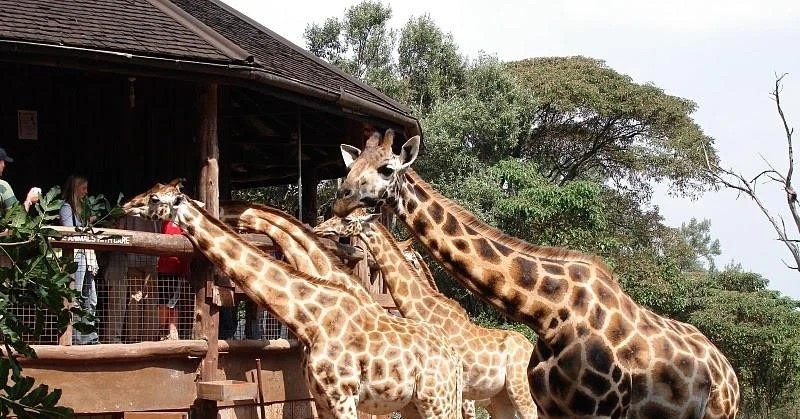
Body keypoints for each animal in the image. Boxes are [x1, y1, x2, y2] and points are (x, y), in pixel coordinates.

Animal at [314, 210, 539, 419]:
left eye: (347, 219)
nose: (318, 228)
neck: (429, 312)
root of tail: (529, 347)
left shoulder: (460, 391)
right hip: (501, 398)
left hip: (519, 391)